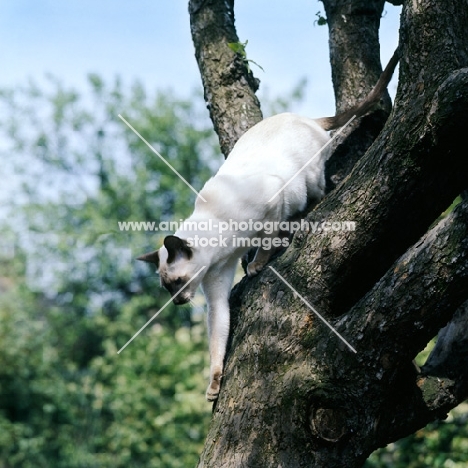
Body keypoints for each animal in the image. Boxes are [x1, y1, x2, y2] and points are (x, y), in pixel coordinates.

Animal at [138, 50, 398, 402]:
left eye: (176, 283)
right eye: (166, 287)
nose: (177, 302)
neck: (221, 253)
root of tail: (307, 119)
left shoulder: (271, 206)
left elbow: (266, 242)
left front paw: (256, 266)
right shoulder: (216, 289)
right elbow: (217, 338)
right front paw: (214, 385)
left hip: (308, 179)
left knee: (321, 193)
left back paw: (302, 218)